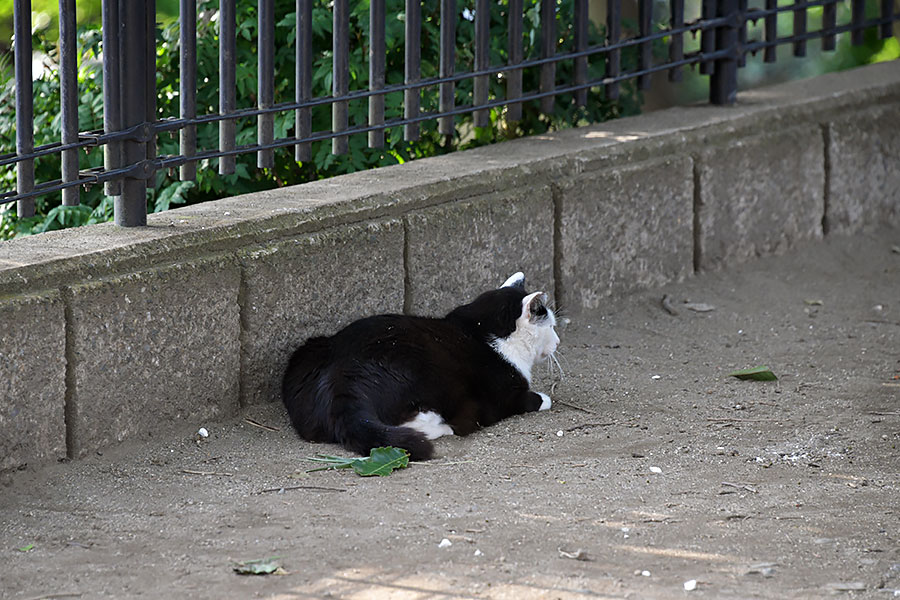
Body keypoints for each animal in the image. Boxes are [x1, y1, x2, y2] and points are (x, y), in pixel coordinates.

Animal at [282, 272, 560, 460]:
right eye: (551, 326)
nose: (558, 341)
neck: (481, 330)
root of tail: (339, 376)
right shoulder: (503, 396)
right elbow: (528, 399)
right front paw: (544, 398)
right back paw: (439, 426)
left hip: (307, 352)